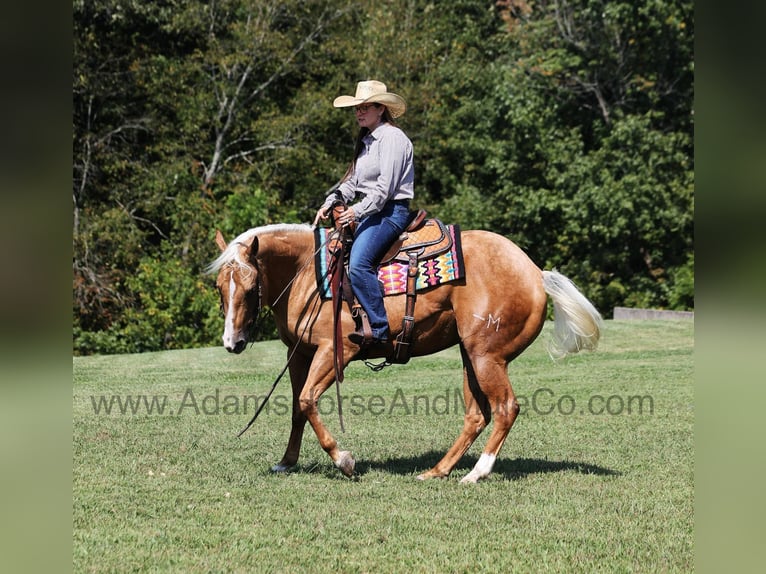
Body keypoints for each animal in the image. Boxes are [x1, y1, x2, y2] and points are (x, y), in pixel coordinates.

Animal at [210, 223, 608, 484]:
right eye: (218, 287)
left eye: (250, 287)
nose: (232, 343)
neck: (310, 274)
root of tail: (534, 271)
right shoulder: (299, 353)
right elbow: (297, 407)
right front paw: (286, 462)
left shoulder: (335, 349)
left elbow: (308, 401)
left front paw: (344, 461)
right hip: (470, 357)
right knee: (477, 415)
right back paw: (438, 470)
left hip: (486, 356)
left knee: (505, 408)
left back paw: (476, 473)